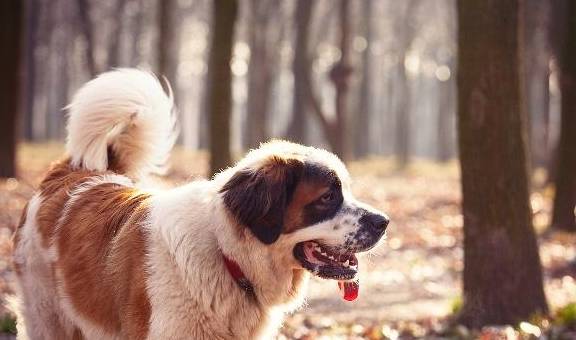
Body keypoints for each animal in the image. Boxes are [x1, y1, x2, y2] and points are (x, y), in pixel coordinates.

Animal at [13, 69, 390, 340]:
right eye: (327, 197)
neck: (227, 256)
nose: (383, 222)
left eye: (347, 191)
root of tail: (70, 173)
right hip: (46, 318)